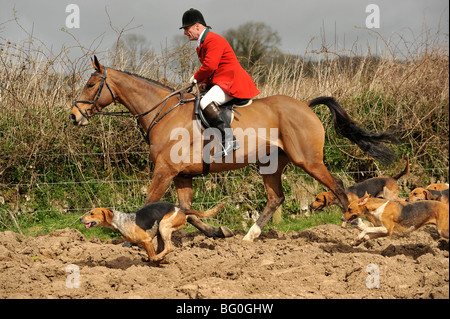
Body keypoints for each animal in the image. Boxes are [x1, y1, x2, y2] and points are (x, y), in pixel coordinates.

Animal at [68, 57, 396, 241]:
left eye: (90, 85)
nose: (73, 116)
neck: (163, 113)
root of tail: (304, 106)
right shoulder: (182, 175)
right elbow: (186, 210)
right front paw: (218, 232)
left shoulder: (165, 170)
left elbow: (151, 204)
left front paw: (131, 237)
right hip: (271, 164)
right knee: (276, 198)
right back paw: (249, 237)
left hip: (308, 160)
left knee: (337, 186)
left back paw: (357, 224)